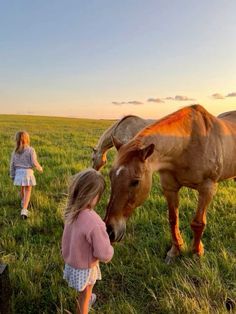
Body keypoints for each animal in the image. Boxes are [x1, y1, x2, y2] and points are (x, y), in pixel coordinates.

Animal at [104, 105, 236, 262]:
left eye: (135, 181)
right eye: (110, 176)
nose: (109, 231)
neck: (188, 143)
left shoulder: (207, 189)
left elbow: (198, 223)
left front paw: (197, 253)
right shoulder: (170, 187)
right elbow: (173, 220)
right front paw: (175, 251)